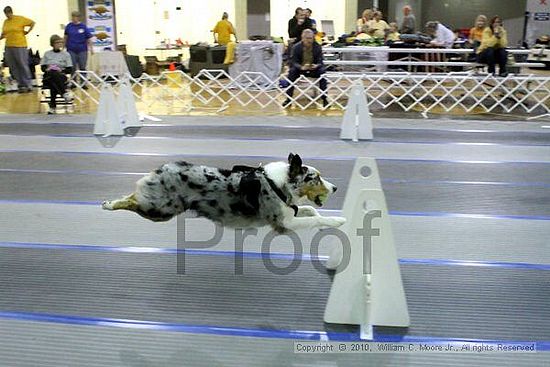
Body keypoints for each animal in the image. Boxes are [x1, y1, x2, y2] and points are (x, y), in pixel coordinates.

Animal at [101, 154, 348, 231]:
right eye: (315, 178)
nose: (335, 188)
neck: (279, 184)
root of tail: (163, 168)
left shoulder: (291, 211)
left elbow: (310, 211)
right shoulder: (284, 223)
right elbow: (317, 219)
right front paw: (338, 220)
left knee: (133, 197)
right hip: (161, 209)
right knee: (132, 200)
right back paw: (109, 204)